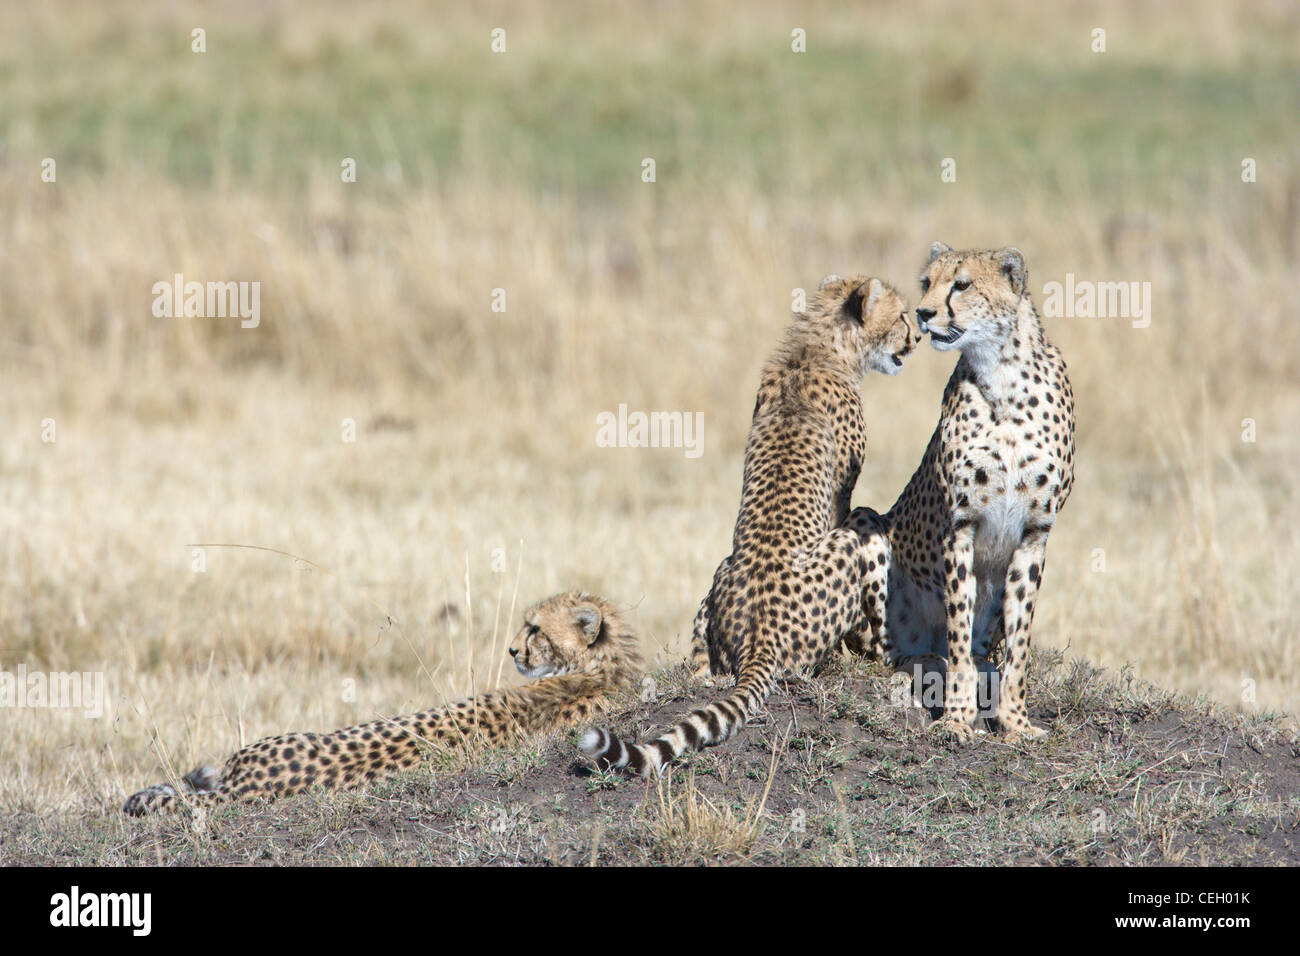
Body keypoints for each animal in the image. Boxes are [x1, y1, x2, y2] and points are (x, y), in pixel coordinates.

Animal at [585, 273, 920, 775]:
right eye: (900, 316)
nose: (916, 337)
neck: (816, 350)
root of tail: (760, 633)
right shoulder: (842, 500)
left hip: (721, 573)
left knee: (705, 665)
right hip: (855, 533)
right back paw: (885, 656)